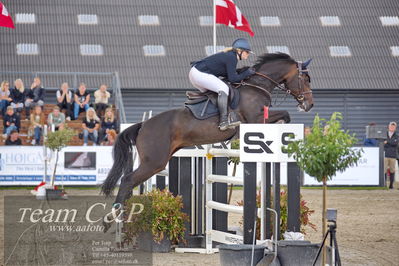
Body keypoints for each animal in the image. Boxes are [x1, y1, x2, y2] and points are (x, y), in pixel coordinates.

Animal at [101, 52, 314, 210]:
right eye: (305, 78)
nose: (309, 105)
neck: (257, 86)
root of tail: (143, 125)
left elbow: (284, 115)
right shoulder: (255, 118)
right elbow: (285, 114)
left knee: (129, 184)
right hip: (154, 162)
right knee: (127, 180)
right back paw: (113, 218)